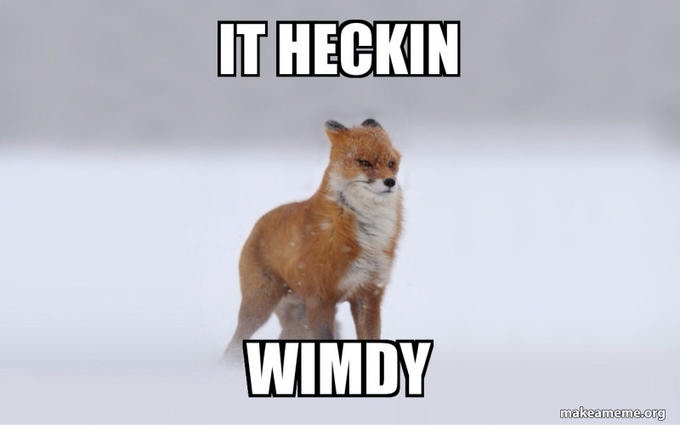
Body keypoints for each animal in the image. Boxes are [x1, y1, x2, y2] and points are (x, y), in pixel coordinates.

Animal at [224, 118, 403, 358]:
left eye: (391, 163)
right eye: (364, 162)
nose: (390, 182)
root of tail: (258, 223)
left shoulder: (368, 292)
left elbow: (371, 338)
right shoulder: (321, 298)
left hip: (297, 318)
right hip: (259, 306)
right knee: (233, 345)